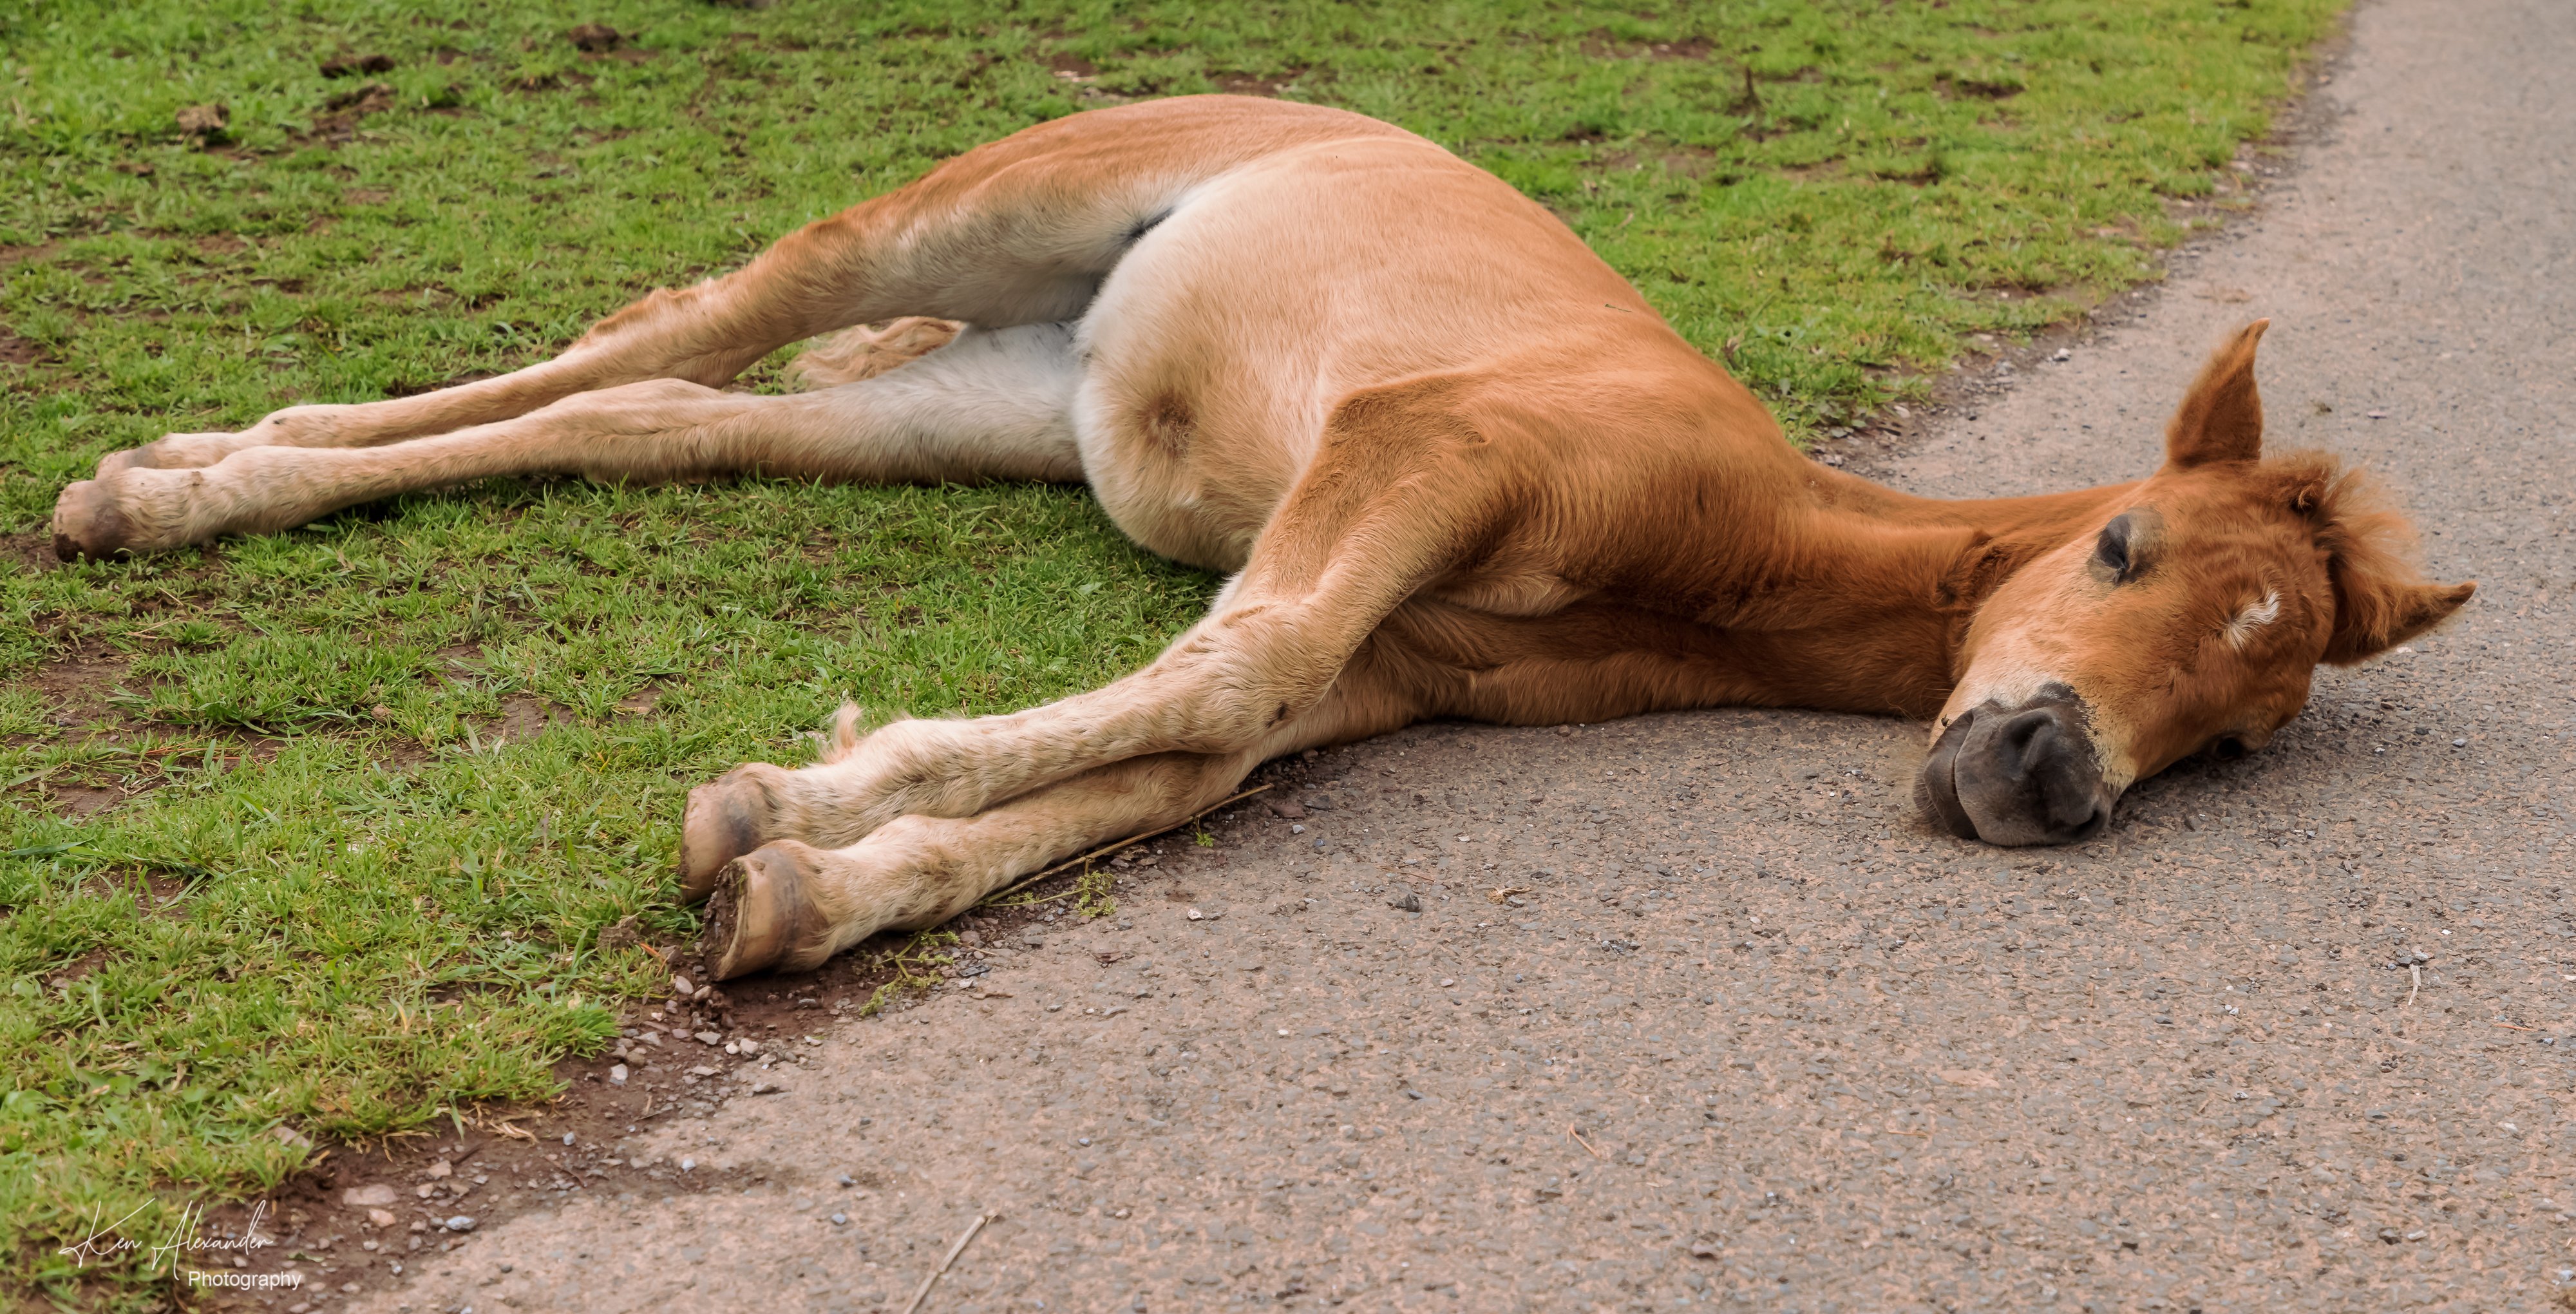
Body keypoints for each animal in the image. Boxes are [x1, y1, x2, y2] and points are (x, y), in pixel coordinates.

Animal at [50, 97, 2463, 974]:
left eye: (2250, 723)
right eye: (2128, 548)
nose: (2043, 771)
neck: (1731, 544)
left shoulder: (1395, 660)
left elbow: (1187, 756)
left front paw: (797, 873)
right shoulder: (1418, 451)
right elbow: (1230, 668)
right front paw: (804, 791)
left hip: (992, 404)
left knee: (657, 411)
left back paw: (203, 476)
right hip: (968, 218)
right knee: (677, 323)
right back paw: (162, 482)